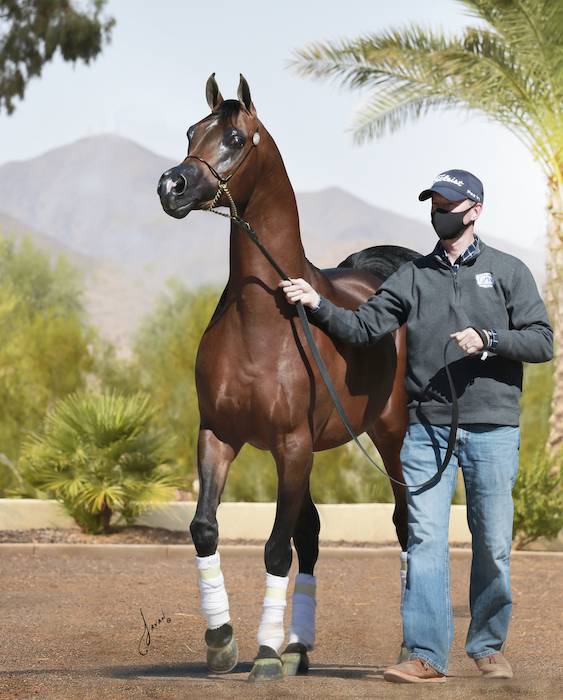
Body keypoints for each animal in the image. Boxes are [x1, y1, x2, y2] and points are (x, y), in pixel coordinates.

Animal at [157, 73, 420, 682]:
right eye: (190, 131)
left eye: (234, 137)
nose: (171, 185)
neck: (265, 322)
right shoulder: (218, 435)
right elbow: (206, 528)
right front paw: (223, 643)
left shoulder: (292, 445)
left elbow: (276, 547)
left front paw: (265, 655)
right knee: (314, 533)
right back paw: (300, 646)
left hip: (390, 437)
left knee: (403, 524)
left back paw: (406, 649)